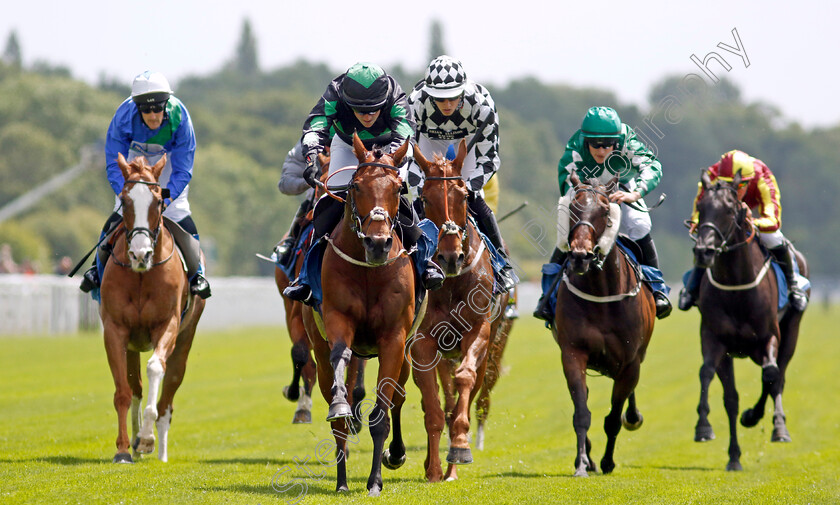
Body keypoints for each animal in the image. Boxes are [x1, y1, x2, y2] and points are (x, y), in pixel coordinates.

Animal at [97, 153, 203, 460]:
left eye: (157, 201)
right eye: (124, 200)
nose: (140, 254)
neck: (142, 275)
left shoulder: (167, 324)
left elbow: (156, 368)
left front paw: (147, 438)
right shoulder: (115, 329)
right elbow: (123, 391)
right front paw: (124, 449)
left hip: (185, 338)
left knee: (168, 395)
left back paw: (161, 452)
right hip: (132, 344)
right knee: (135, 387)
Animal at [304, 132, 416, 494]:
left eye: (398, 187)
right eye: (355, 186)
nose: (378, 243)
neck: (369, 270)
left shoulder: (394, 338)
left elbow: (381, 415)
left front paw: (375, 481)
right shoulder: (338, 321)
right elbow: (340, 360)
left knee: (398, 396)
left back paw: (395, 453)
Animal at [410, 139, 508, 480]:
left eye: (464, 196)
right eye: (425, 199)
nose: (451, 257)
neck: (452, 282)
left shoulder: (478, 332)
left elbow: (464, 383)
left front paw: (462, 447)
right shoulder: (423, 342)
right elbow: (432, 409)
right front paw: (433, 471)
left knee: (464, 394)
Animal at [552, 171, 656, 474]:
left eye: (604, 210)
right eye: (573, 209)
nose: (580, 256)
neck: (601, 293)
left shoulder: (630, 363)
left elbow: (613, 418)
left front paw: (608, 461)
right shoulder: (572, 353)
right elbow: (581, 412)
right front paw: (582, 463)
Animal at [688, 171, 808, 470]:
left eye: (729, 210)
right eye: (701, 207)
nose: (704, 251)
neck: (736, 286)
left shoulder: (770, 336)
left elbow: (771, 375)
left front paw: (760, 419)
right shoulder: (715, 339)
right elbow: (711, 377)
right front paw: (704, 428)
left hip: (792, 332)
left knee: (778, 376)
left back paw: (774, 425)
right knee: (734, 396)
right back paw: (734, 455)